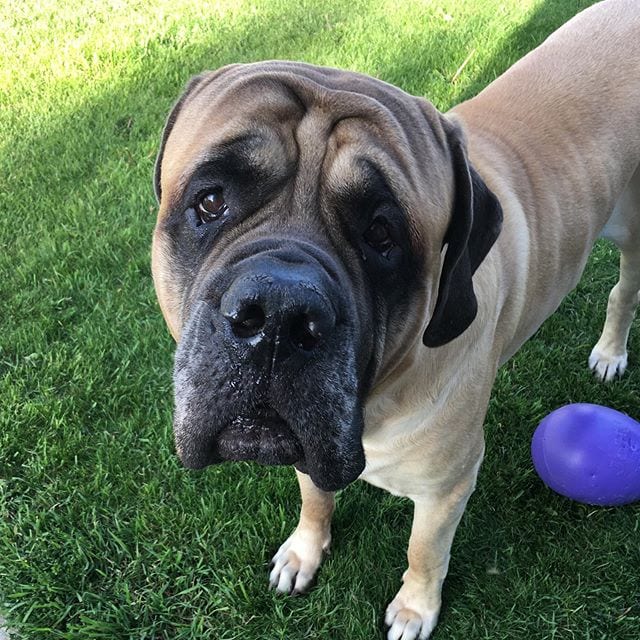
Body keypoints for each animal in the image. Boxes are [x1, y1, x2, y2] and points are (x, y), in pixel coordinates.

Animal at [151, 2, 640, 636]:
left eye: (381, 234)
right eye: (211, 202)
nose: (278, 315)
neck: (377, 402)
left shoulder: (447, 486)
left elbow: (424, 550)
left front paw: (415, 608)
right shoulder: (305, 439)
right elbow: (314, 494)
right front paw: (305, 550)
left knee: (624, 289)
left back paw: (610, 352)